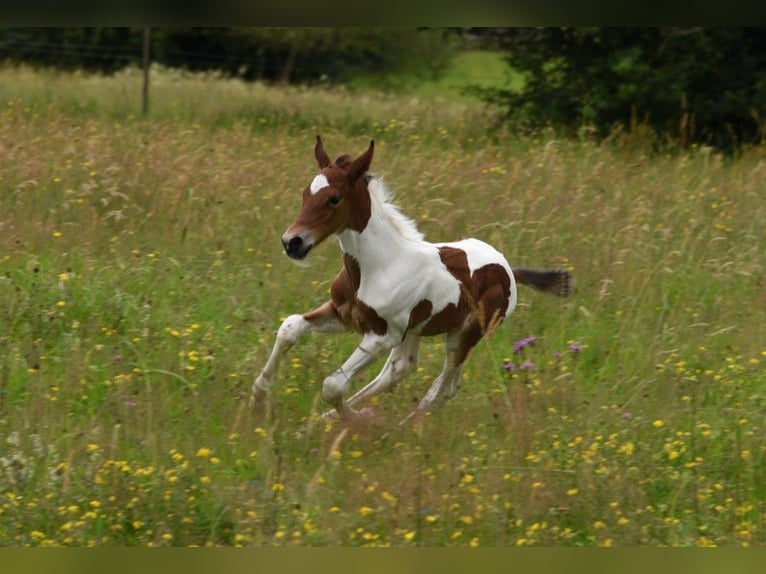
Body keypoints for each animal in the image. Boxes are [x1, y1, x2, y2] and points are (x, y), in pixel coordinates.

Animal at [249, 136, 572, 428]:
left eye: (334, 198)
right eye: (305, 194)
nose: (292, 242)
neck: (380, 265)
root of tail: (508, 269)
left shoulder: (383, 334)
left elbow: (333, 385)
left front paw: (359, 419)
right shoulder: (343, 314)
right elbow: (290, 327)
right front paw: (259, 399)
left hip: (464, 335)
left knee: (443, 390)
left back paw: (398, 428)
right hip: (416, 329)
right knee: (400, 369)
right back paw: (328, 420)